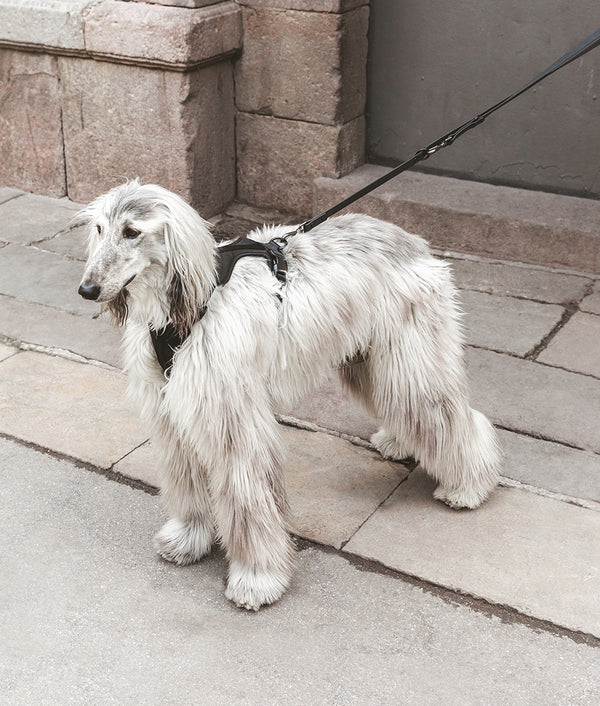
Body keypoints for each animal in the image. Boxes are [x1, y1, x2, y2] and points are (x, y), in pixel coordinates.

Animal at [79, 182, 502, 612]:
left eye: (132, 231)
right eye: (99, 228)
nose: (87, 290)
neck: (186, 309)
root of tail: (413, 240)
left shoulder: (232, 418)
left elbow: (248, 497)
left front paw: (257, 578)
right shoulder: (171, 413)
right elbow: (187, 482)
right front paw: (188, 539)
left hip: (410, 360)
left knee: (450, 416)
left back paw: (469, 485)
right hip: (369, 360)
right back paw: (402, 442)